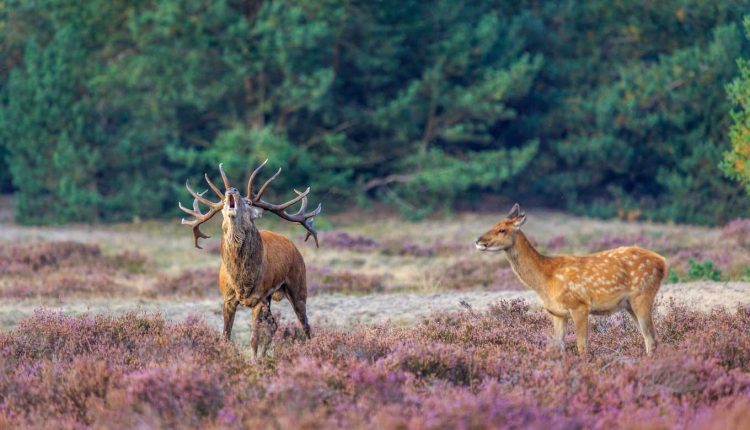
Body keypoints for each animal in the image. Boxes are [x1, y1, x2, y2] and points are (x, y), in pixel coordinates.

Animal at [182, 160, 324, 358]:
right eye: (223, 202)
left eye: (248, 201)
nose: (231, 190)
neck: (242, 280)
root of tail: (293, 246)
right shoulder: (228, 298)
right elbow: (225, 336)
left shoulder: (259, 297)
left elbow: (254, 338)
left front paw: (253, 361)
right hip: (272, 296)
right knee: (274, 325)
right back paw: (265, 356)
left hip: (298, 284)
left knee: (305, 325)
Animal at [478, 205, 668, 356]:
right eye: (493, 225)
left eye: (502, 230)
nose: (479, 241)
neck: (545, 279)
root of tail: (663, 262)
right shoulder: (556, 313)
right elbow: (558, 346)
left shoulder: (579, 305)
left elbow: (582, 346)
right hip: (629, 304)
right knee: (649, 337)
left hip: (643, 295)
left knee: (651, 338)